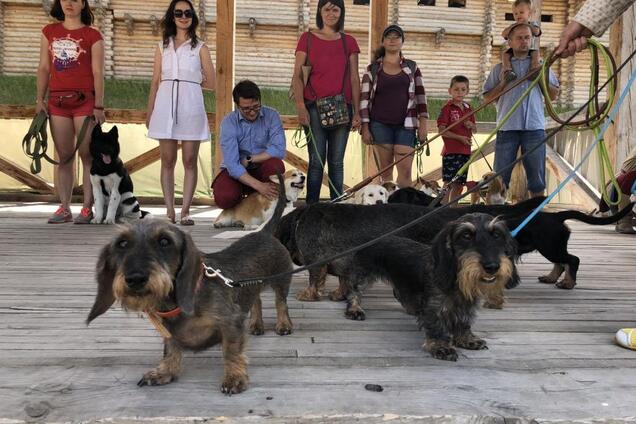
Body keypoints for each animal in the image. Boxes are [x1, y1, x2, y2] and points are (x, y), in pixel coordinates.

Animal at [87, 175, 294, 394]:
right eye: (122, 244)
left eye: (165, 241)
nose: (135, 278)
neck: (179, 302)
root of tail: (265, 232)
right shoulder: (170, 332)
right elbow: (170, 349)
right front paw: (164, 372)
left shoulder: (231, 322)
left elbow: (231, 351)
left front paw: (234, 377)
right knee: (256, 301)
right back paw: (256, 324)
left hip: (281, 280)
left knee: (281, 303)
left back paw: (283, 325)